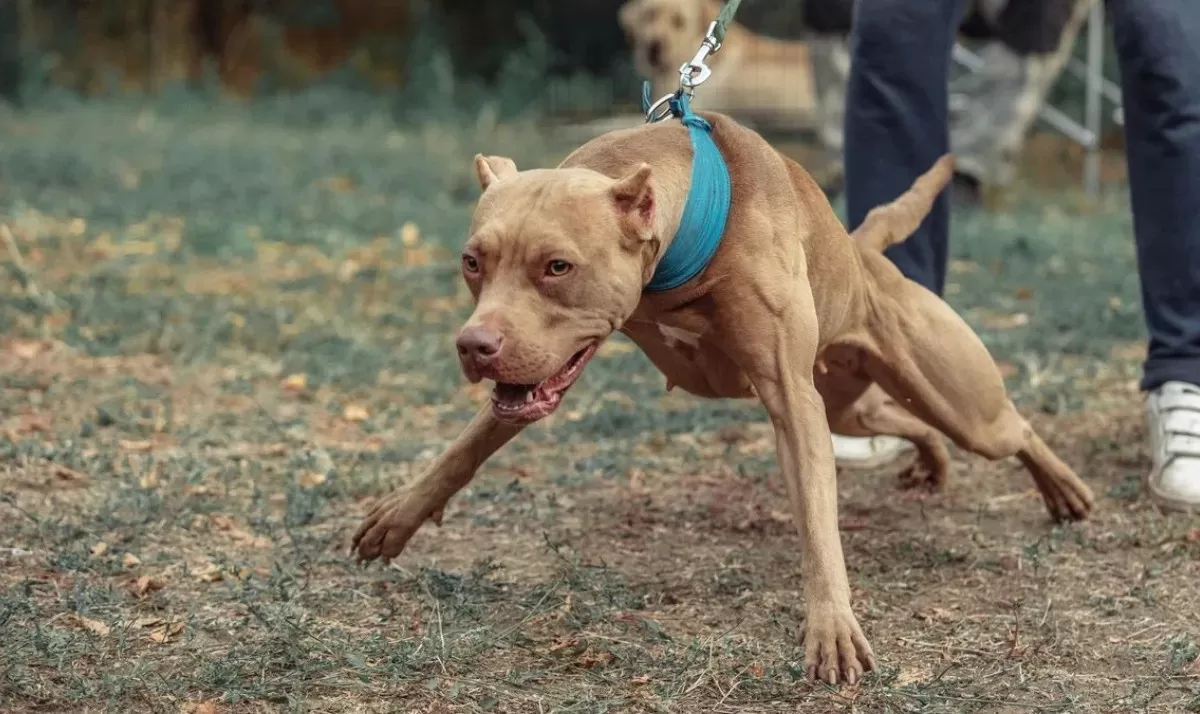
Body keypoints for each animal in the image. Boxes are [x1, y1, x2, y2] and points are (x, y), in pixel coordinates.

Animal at [350, 109, 1099, 686]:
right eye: (472, 262)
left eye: (557, 267)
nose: (473, 345)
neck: (685, 244)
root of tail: (861, 253)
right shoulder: (543, 368)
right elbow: (469, 444)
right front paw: (400, 515)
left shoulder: (793, 404)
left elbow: (818, 525)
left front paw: (831, 629)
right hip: (848, 401)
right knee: (908, 421)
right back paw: (934, 463)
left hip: (957, 402)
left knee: (1010, 429)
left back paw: (1063, 490)